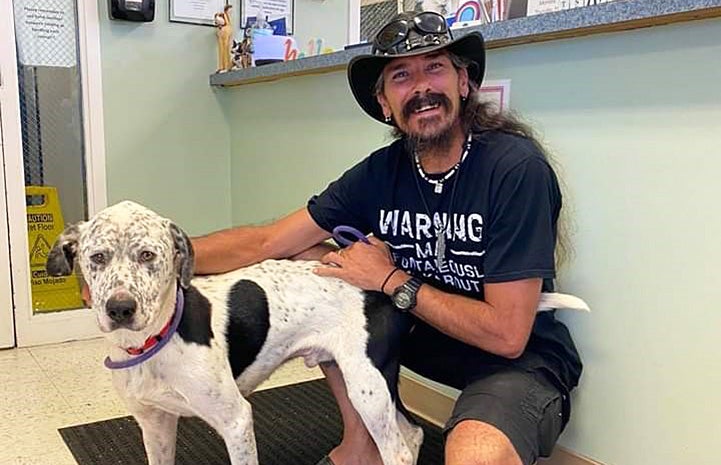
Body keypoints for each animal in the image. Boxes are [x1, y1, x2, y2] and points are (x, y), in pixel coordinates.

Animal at [46, 200, 422, 464]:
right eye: (98, 257)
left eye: (148, 255)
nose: (120, 308)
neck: (152, 343)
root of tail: (378, 282)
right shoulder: (155, 424)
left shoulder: (236, 420)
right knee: (413, 433)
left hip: (366, 387)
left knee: (398, 451)